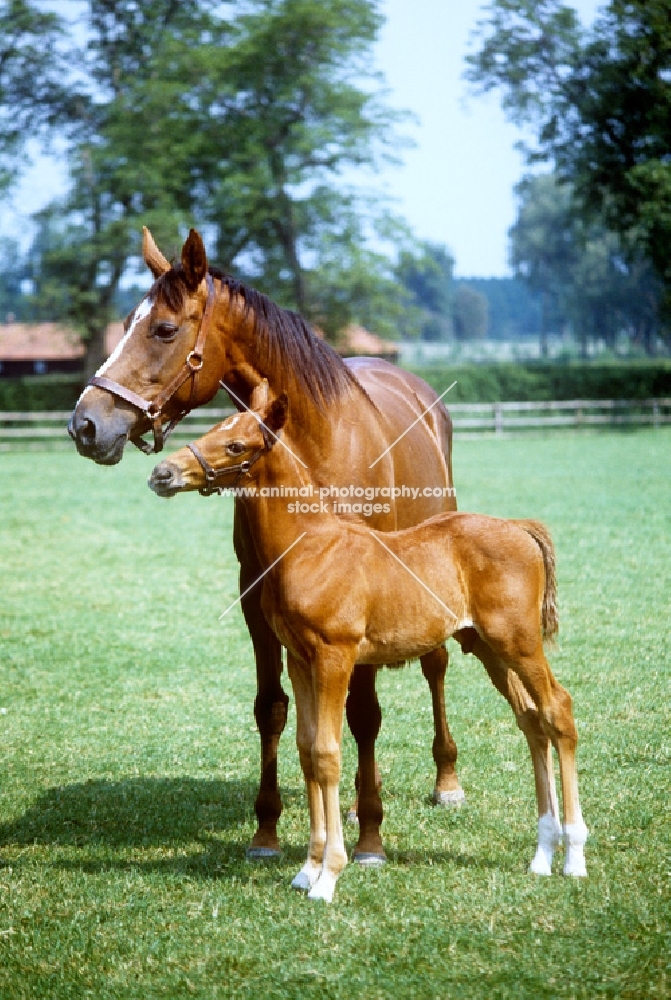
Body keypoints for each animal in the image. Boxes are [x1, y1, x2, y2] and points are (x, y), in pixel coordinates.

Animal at [148, 386, 588, 904]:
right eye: (214, 428)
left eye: (236, 445)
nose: (162, 473)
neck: (309, 545)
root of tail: (519, 527)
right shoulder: (300, 660)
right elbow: (306, 750)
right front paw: (307, 869)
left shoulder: (334, 657)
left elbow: (328, 755)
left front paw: (329, 876)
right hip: (489, 649)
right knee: (532, 721)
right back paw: (542, 855)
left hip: (519, 643)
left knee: (558, 710)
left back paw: (574, 855)